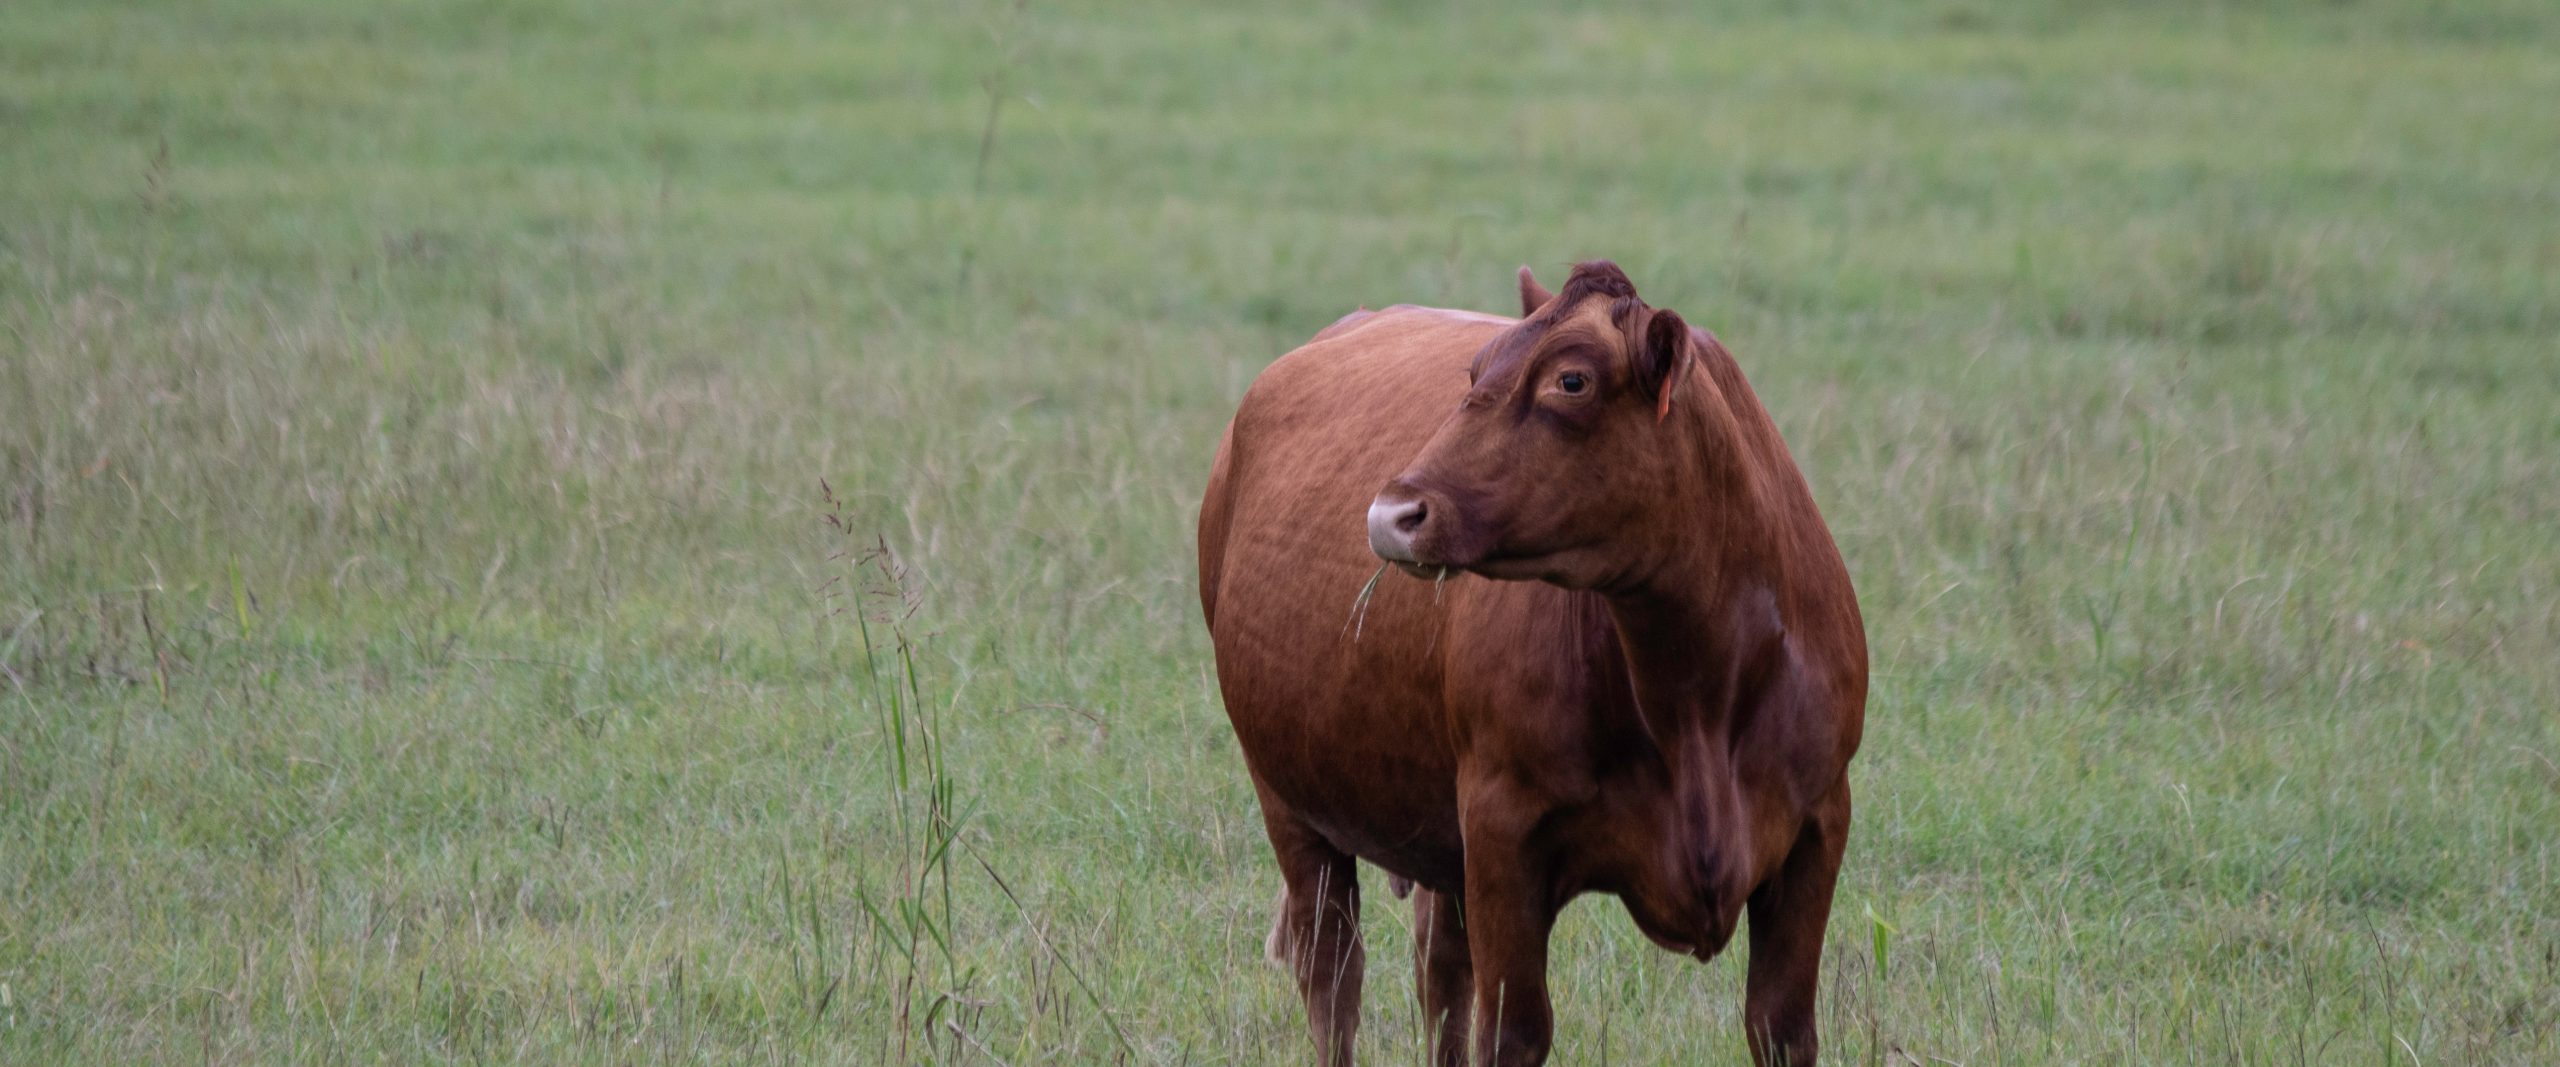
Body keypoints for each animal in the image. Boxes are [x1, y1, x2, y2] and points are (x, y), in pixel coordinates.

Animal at [1195, 261, 1867, 1066]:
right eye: (1477, 368)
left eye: (1570, 381)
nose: (1391, 514)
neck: (1696, 697)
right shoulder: (1500, 829)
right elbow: (1513, 1029)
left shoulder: (1818, 826)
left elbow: (1781, 1025)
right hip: (1288, 794)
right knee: (1333, 969)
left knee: (1438, 966)